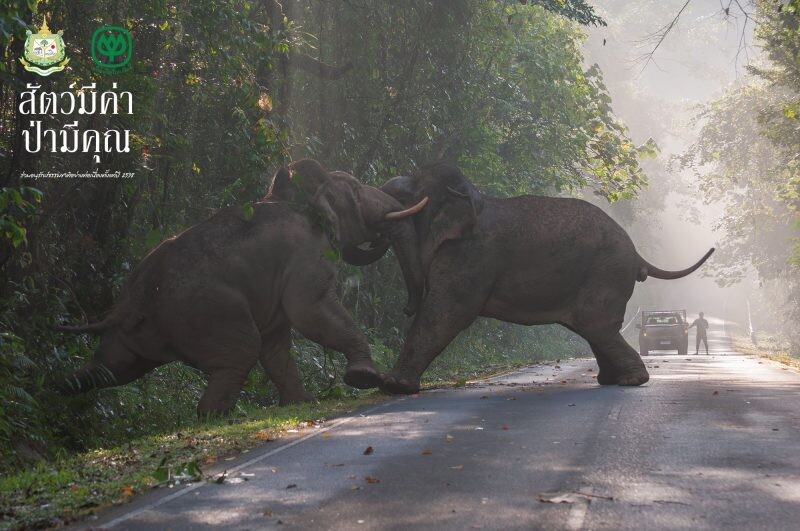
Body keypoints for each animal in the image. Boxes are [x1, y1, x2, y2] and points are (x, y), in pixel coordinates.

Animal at [54, 158, 432, 416]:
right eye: (355, 190)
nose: (409, 308)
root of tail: (130, 301)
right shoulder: (307, 254)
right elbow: (308, 310)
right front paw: (364, 378)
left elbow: (277, 342)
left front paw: (303, 404)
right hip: (207, 311)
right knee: (242, 351)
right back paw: (215, 416)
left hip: (135, 334)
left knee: (113, 367)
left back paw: (54, 389)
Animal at [344, 162, 712, 394]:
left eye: (406, 201)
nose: (404, 308)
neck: (472, 199)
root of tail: (637, 253)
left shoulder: (474, 255)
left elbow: (447, 312)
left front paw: (394, 386)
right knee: (596, 328)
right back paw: (611, 380)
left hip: (606, 272)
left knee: (594, 324)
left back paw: (630, 381)